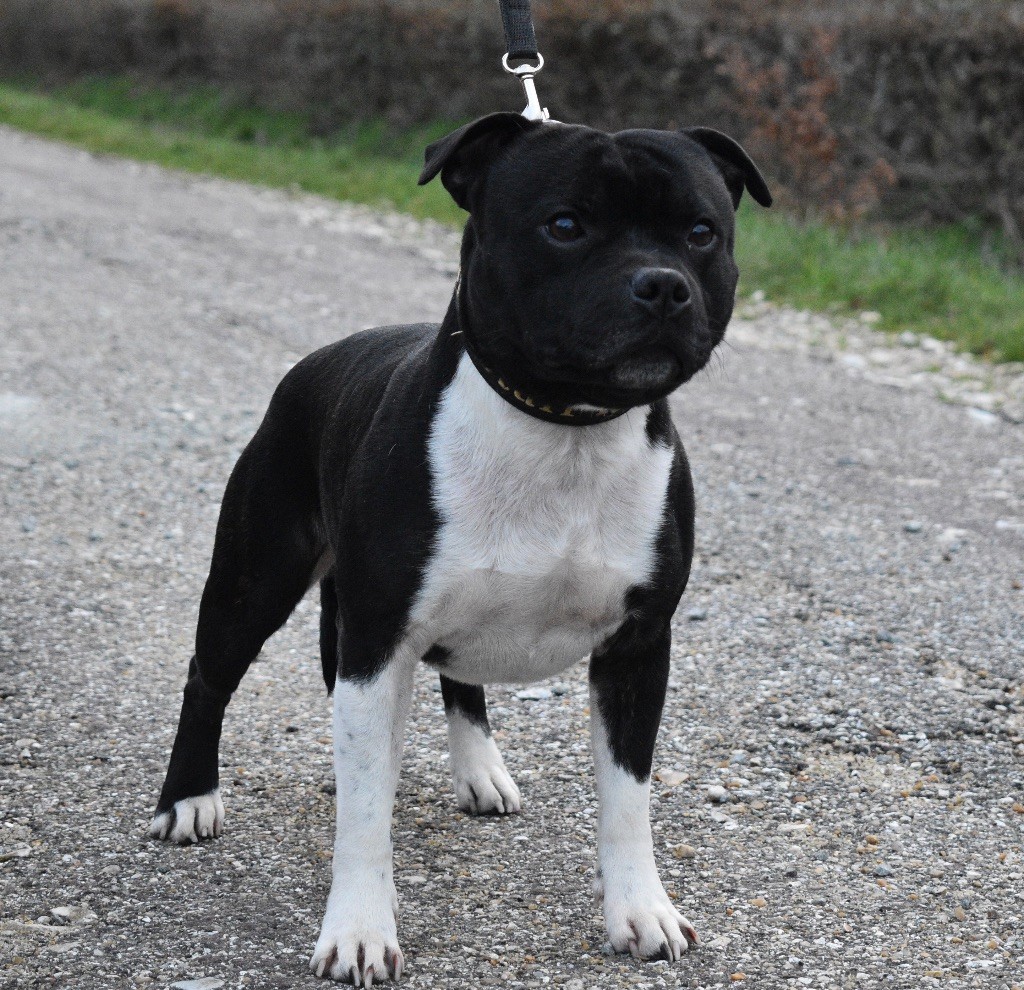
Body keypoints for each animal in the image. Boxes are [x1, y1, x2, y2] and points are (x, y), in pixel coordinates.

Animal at [149, 111, 771, 985]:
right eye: (565, 226)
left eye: (701, 232)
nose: (662, 284)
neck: (563, 427)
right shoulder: (376, 641)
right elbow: (364, 814)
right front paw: (360, 928)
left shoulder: (638, 647)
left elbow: (627, 798)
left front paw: (640, 911)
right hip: (255, 575)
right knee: (210, 677)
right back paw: (188, 798)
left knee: (460, 679)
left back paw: (479, 770)